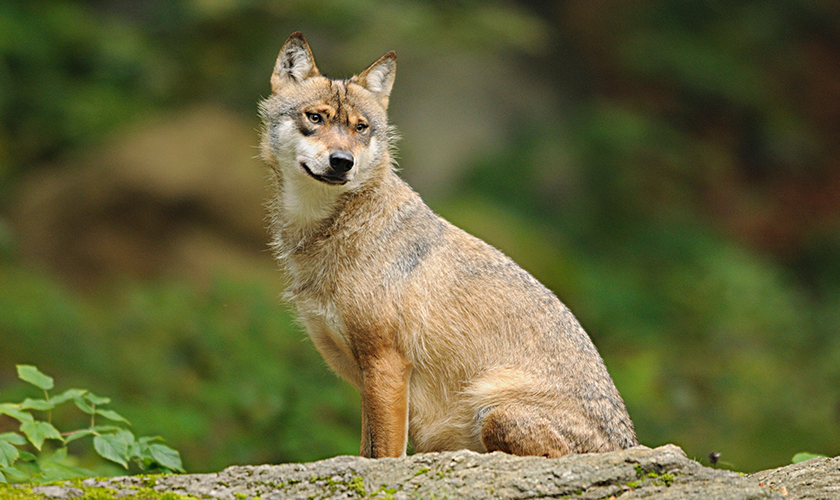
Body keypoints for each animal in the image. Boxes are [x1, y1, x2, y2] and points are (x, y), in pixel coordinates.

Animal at [259, 31, 638, 458]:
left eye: (361, 128)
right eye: (315, 118)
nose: (342, 161)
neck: (335, 229)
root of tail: (629, 444)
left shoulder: (387, 365)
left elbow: (386, 455)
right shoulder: (367, 377)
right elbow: (367, 452)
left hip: (492, 410)